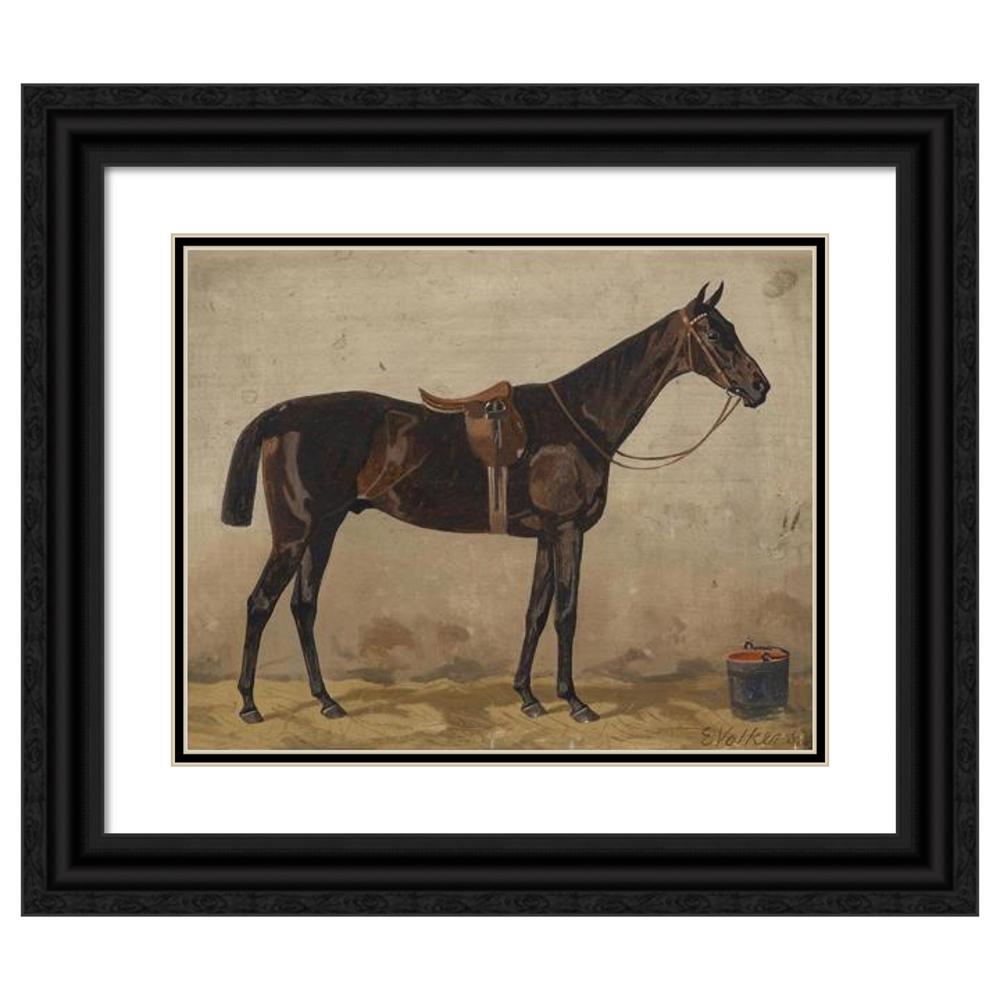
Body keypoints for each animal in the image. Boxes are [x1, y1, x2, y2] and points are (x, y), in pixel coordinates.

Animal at [219, 281, 770, 725]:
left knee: (303, 607)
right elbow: (567, 613)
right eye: (715, 334)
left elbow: (535, 612)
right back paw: (248, 705)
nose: (760, 386)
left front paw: (528, 696)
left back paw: (326, 700)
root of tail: (280, 413)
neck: (580, 422)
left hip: (325, 529)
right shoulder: (568, 531)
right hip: (295, 535)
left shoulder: (546, 536)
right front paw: (575, 701)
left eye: (731, 328)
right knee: (260, 604)